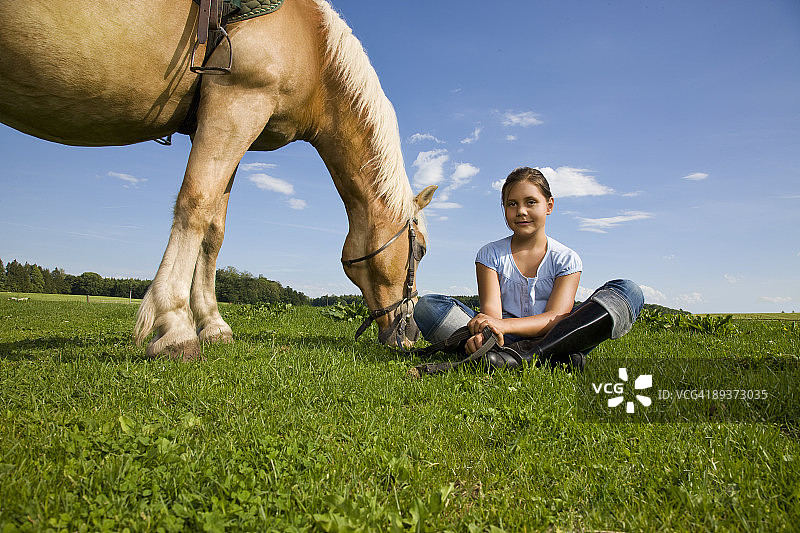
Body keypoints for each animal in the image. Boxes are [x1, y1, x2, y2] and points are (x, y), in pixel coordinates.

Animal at [0, 0, 436, 359]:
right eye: (419, 251)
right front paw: (176, 326)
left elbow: (214, 229)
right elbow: (196, 203)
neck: (313, 43)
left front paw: (212, 324)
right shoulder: (238, 102)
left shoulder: (232, 124)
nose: (411, 335)